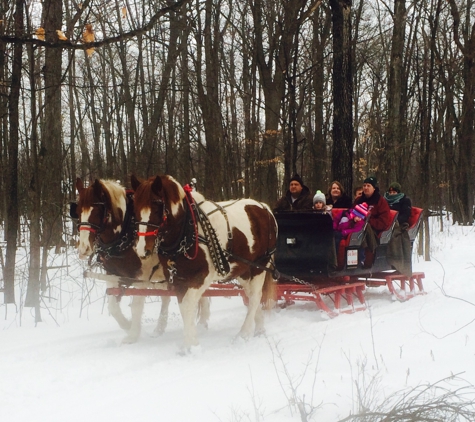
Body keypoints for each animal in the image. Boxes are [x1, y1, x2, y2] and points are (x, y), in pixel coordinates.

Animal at [77, 178, 174, 342]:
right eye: (77, 211)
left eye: (96, 210)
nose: (83, 248)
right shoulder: (113, 275)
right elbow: (113, 307)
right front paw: (128, 326)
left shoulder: (142, 276)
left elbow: (136, 305)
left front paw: (133, 335)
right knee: (167, 296)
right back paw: (159, 329)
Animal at [130, 173, 278, 352]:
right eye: (135, 207)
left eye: (157, 205)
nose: (141, 249)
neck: (187, 231)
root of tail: (263, 207)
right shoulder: (178, 279)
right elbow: (184, 307)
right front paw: (192, 343)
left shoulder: (202, 277)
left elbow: (188, 304)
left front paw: (189, 346)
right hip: (242, 269)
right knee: (250, 295)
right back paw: (259, 328)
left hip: (260, 265)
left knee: (256, 296)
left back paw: (244, 333)